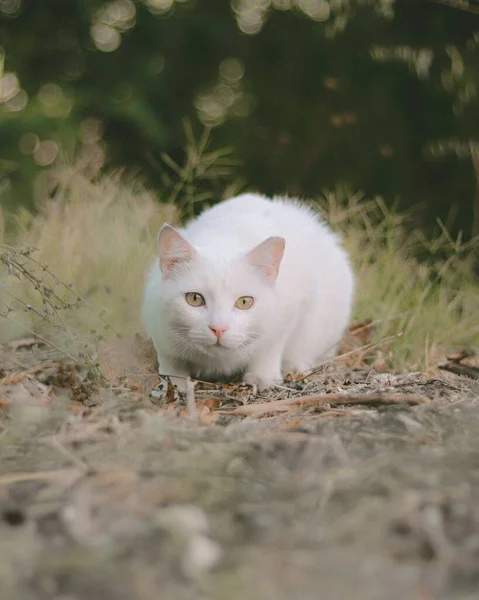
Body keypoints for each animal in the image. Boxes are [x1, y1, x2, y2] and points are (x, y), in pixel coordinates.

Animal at [141, 192, 354, 390]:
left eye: (244, 302)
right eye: (194, 298)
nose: (218, 328)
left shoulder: (292, 309)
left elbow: (269, 348)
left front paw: (262, 377)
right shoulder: (157, 324)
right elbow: (170, 361)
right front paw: (174, 384)